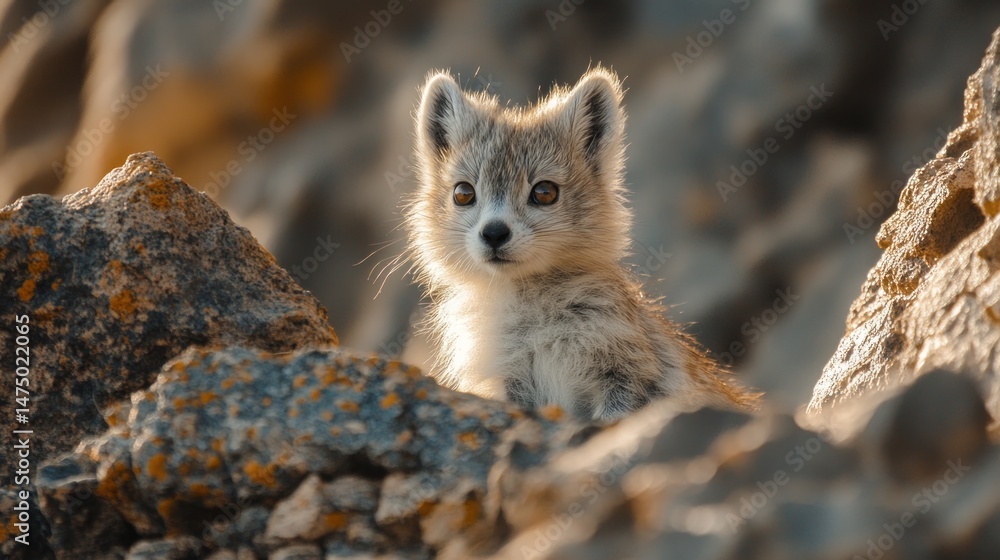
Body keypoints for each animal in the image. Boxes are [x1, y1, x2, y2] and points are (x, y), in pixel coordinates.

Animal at [401, 67, 760, 421]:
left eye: (545, 192)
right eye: (463, 193)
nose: (494, 233)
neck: (534, 323)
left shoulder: (624, 373)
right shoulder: (514, 382)